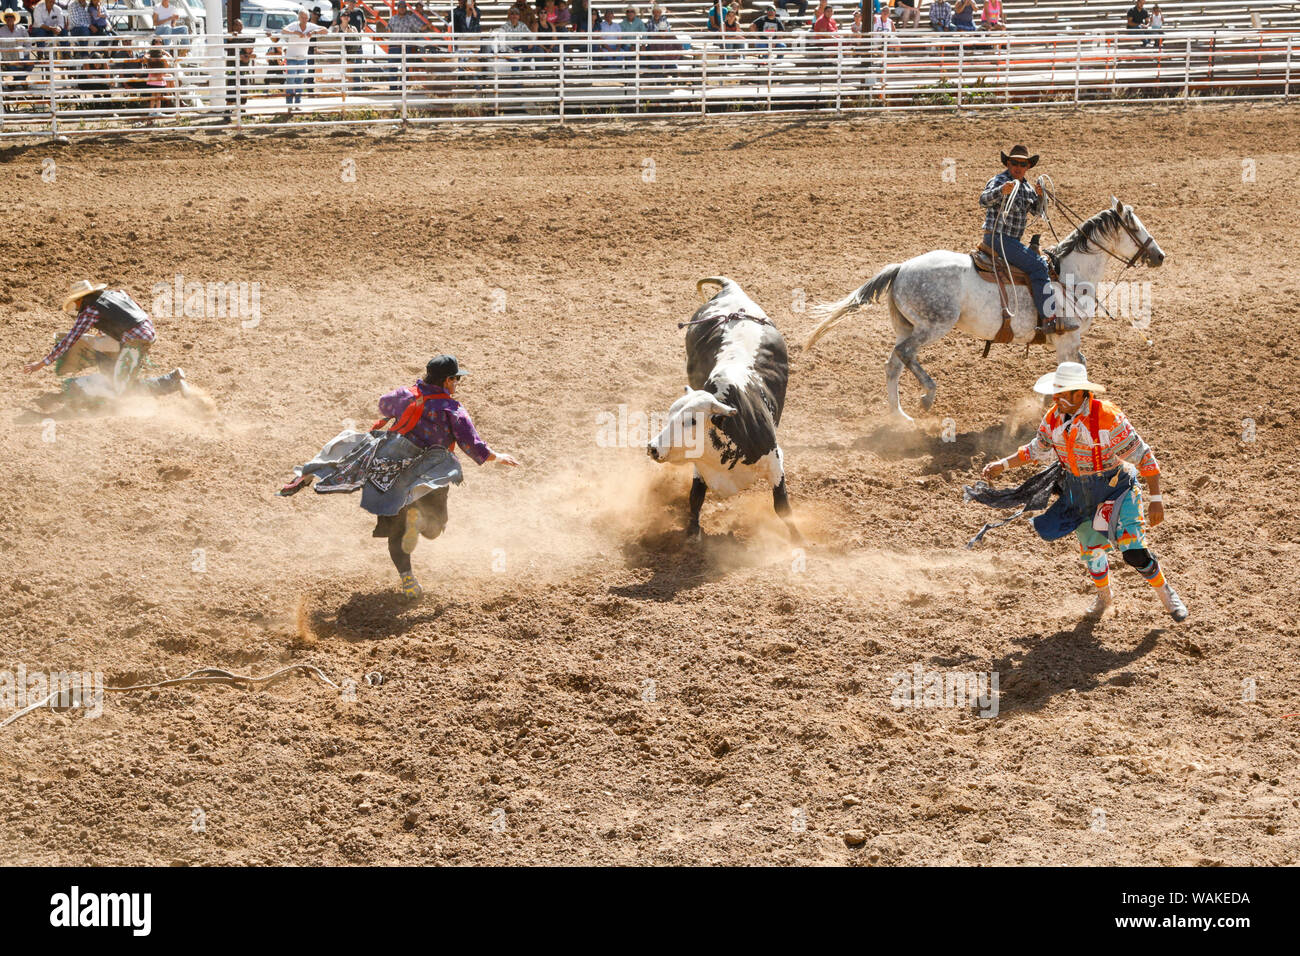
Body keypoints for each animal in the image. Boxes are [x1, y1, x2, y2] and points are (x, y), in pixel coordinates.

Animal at [644, 278, 795, 546]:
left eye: (691, 421)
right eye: (670, 415)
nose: (653, 447)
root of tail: (730, 288)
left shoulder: (775, 460)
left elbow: (782, 508)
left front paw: (800, 539)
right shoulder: (700, 468)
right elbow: (695, 498)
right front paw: (692, 535)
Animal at [800, 197, 1170, 421]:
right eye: (1135, 227)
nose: (1160, 255)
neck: (1068, 273)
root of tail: (902, 267)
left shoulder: (1063, 341)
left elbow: (1071, 369)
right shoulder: (1068, 337)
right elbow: (1076, 366)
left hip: (907, 325)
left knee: (892, 364)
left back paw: (900, 417)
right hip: (933, 325)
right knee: (905, 355)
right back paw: (927, 395)